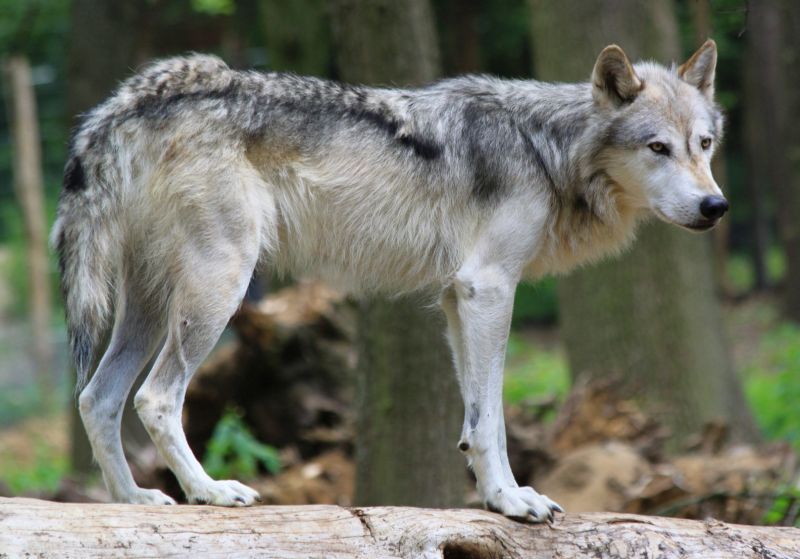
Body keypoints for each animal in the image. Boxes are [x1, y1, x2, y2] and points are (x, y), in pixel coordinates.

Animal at [50, 40, 724, 524]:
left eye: (705, 144)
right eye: (657, 148)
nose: (715, 206)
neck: (545, 149)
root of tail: (139, 97)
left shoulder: (457, 299)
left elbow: (474, 421)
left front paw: (491, 498)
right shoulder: (488, 289)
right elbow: (493, 421)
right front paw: (513, 502)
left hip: (150, 307)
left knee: (97, 398)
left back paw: (133, 502)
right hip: (216, 292)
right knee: (155, 398)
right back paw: (209, 492)